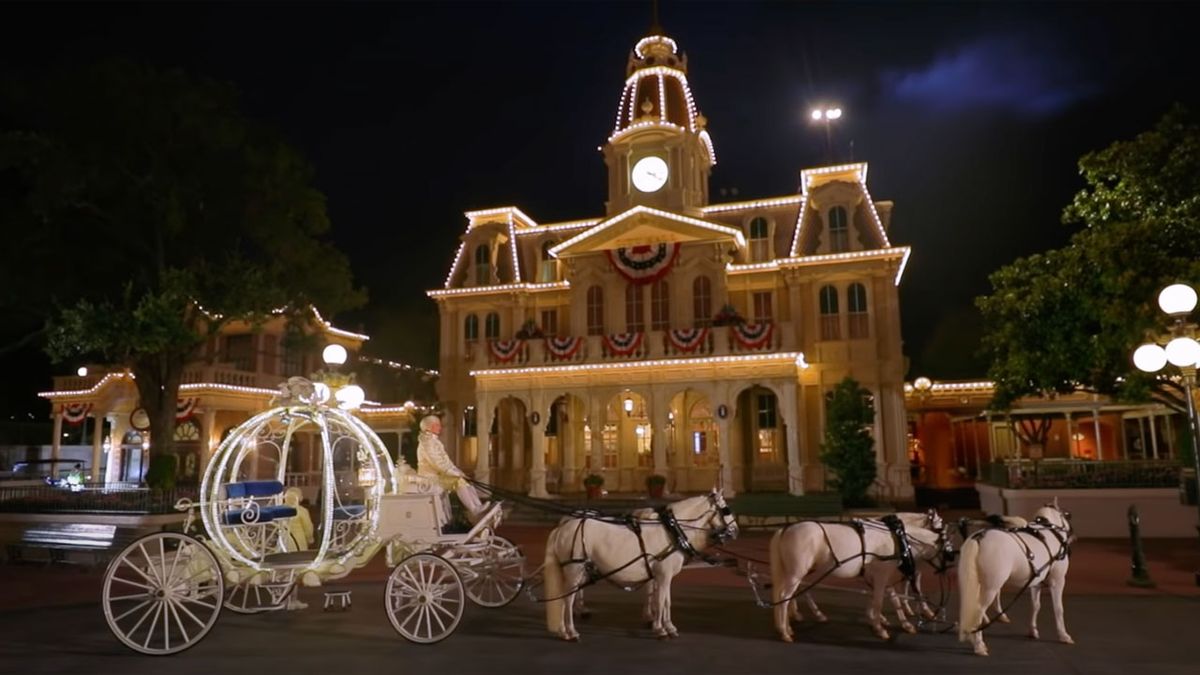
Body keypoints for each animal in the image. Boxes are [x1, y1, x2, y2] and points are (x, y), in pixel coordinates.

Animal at [547, 487, 734, 634]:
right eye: (725, 509)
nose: (735, 530)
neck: (671, 530)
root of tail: (562, 527)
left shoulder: (661, 575)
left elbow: (663, 598)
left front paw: (663, 624)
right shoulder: (663, 573)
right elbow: (661, 599)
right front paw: (660, 628)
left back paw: (574, 619)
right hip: (574, 568)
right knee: (567, 598)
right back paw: (569, 630)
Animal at [768, 511, 945, 638]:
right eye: (940, 527)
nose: (943, 566)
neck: (892, 534)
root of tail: (784, 530)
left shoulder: (877, 576)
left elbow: (885, 597)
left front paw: (885, 620)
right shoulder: (882, 574)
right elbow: (883, 599)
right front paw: (883, 625)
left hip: (798, 572)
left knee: (789, 593)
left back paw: (793, 621)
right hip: (797, 572)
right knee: (785, 596)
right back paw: (786, 630)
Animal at [960, 499, 1075, 653]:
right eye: (1067, 514)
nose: (1073, 535)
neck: (1049, 530)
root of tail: (979, 537)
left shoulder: (1036, 583)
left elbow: (1035, 606)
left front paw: (1033, 631)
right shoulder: (1058, 581)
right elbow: (1058, 608)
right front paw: (1063, 635)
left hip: (978, 583)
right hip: (991, 586)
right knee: (978, 609)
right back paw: (979, 645)